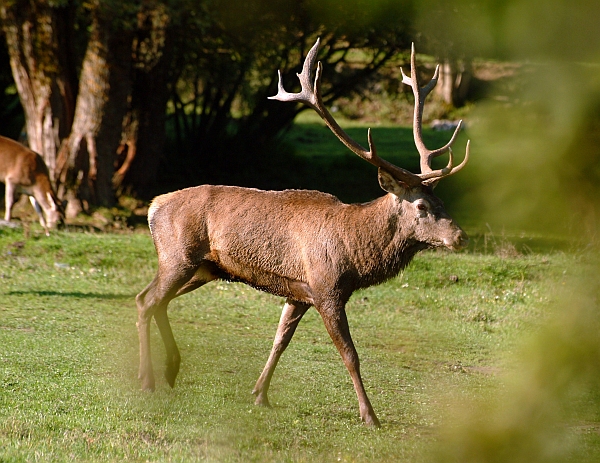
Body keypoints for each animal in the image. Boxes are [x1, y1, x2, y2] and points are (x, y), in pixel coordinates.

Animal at [136, 40, 468, 428]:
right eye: (422, 206)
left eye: (442, 200)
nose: (459, 236)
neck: (355, 253)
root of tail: (153, 207)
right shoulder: (327, 289)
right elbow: (351, 354)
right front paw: (370, 415)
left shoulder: (298, 292)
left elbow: (279, 340)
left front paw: (259, 394)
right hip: (179, 257)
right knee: (147, 301)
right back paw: (148, 379)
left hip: (203, 268)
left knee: (152, 299)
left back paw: (171, 370)